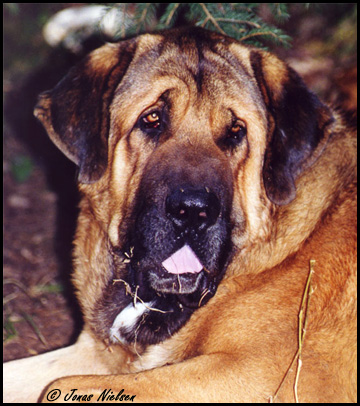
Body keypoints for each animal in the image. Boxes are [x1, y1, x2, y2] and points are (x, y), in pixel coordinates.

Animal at [3, 27, 358, 402]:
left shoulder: (264, 372)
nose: (193, 212)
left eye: (236, 132)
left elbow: (57, 386)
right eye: (152, 119)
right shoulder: (96, 353)